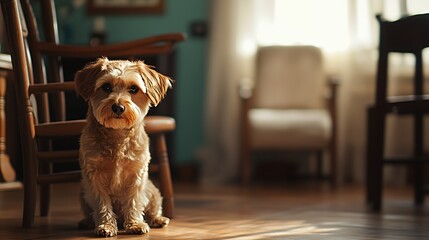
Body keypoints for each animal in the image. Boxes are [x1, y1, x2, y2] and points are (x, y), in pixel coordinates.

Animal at [74, 57, 170, 237]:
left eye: (134, 88)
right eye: (106, 87)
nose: (118, 107)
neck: (117, 135)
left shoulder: (137, 174)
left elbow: (134, 201)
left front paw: (135, 224)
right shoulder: (93, 177)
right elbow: (102, 203)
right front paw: (106, 226)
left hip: (153, 191)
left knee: (153, 209)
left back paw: (158, 219)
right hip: (82, 193)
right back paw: (86, 222)